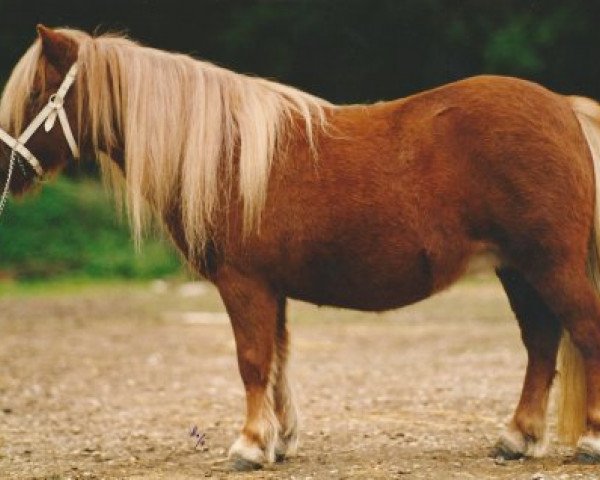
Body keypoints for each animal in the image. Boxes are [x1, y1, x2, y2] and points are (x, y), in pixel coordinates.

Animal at [1, 26, 600, 468]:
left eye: (35, 95)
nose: (6, 173)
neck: (228, 153)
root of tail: (565, 109)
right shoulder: (273, 289)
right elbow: (279, 361)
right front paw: (280, 439)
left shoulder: (244, 284)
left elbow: (252, 360)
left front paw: (249, 446)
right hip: (517, 269)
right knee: (541, 341)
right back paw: (517, 438)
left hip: (550, 264)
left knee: (582, 331)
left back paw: (588, 440)